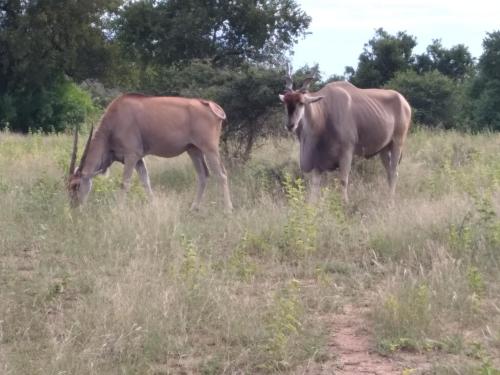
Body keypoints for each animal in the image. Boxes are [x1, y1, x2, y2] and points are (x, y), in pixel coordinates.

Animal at [67, 93, 233, 212]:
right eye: (67, 186)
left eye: (76, 185)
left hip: (210, 149)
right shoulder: (138, 159)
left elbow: (125, 183)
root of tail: (210, 104)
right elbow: (145, 181)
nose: (73, 207)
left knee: (222, 174)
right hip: (194, 150)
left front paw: (119, 209)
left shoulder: (131, 156)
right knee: (203, 175)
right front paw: (154, 205)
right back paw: (194, 207)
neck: (113, 123)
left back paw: (228, 209)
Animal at [278, 67, 410, 203]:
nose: (290, 125)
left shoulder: (347, 152)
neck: (324, 114)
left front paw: (345, 203)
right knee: (389, 172)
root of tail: (404, 102)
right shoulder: (318, 161)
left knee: (394, 172)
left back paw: (391, 200)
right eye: (285, 103)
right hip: (383, 149)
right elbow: (315, 185)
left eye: (301, 103)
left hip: (397, 143)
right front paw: (311, 204)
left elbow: (343, 180)